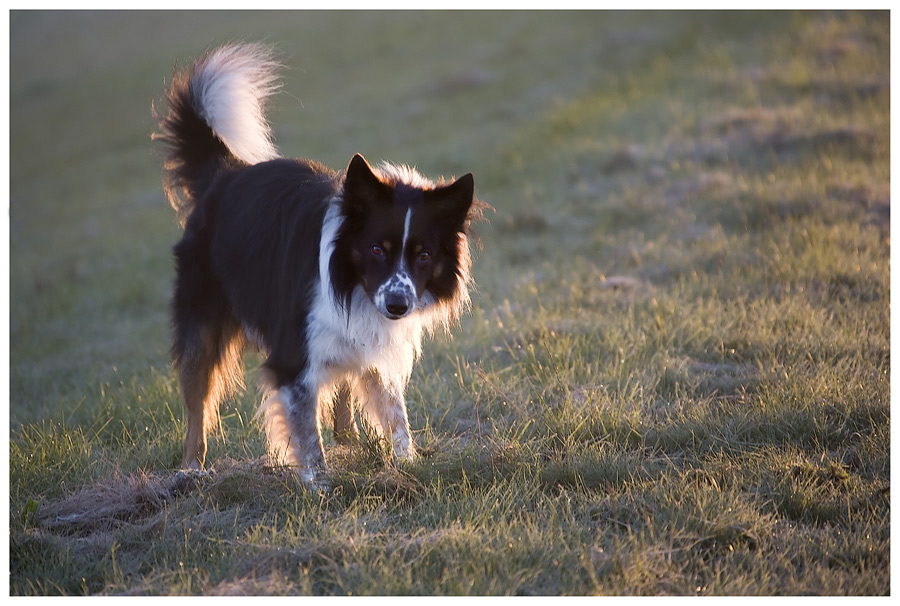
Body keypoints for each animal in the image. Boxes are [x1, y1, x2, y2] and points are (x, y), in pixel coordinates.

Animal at [153, 42, 486, 490]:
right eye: (377, 249)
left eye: (424, 255)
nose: (398, 305)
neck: (352, 282)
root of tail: (223, 173)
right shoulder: (293, 358)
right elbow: (307, 433)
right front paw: (320, 487)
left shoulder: (371, 342)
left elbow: (395, 414)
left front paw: (407, 466)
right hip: (203, 319)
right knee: (197, 402)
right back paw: (191, 471)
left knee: (343, 398)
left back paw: (351, 447)